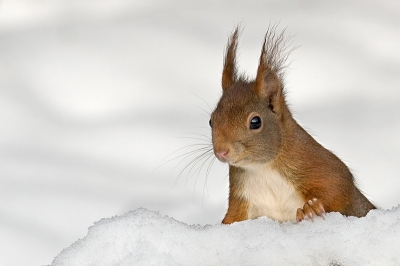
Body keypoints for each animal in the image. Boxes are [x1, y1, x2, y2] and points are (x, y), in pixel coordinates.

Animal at [211, 27, 376, 223]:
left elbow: (337, 189)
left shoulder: (320, 165)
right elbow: (232, 218)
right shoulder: (241, 199)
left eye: (255, 122)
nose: (221, 151)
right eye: (211, 120)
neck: (262, 168)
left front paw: (311, 208)